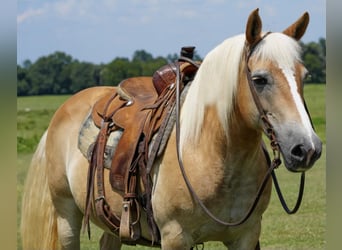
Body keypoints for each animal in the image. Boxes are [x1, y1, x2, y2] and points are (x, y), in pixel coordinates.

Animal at [20, 8, 320, 250]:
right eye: (259, 79)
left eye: (304, 76)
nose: (306, 149)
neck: (210, 154)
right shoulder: (175, 237)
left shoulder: (246, 236)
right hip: (66, 216)